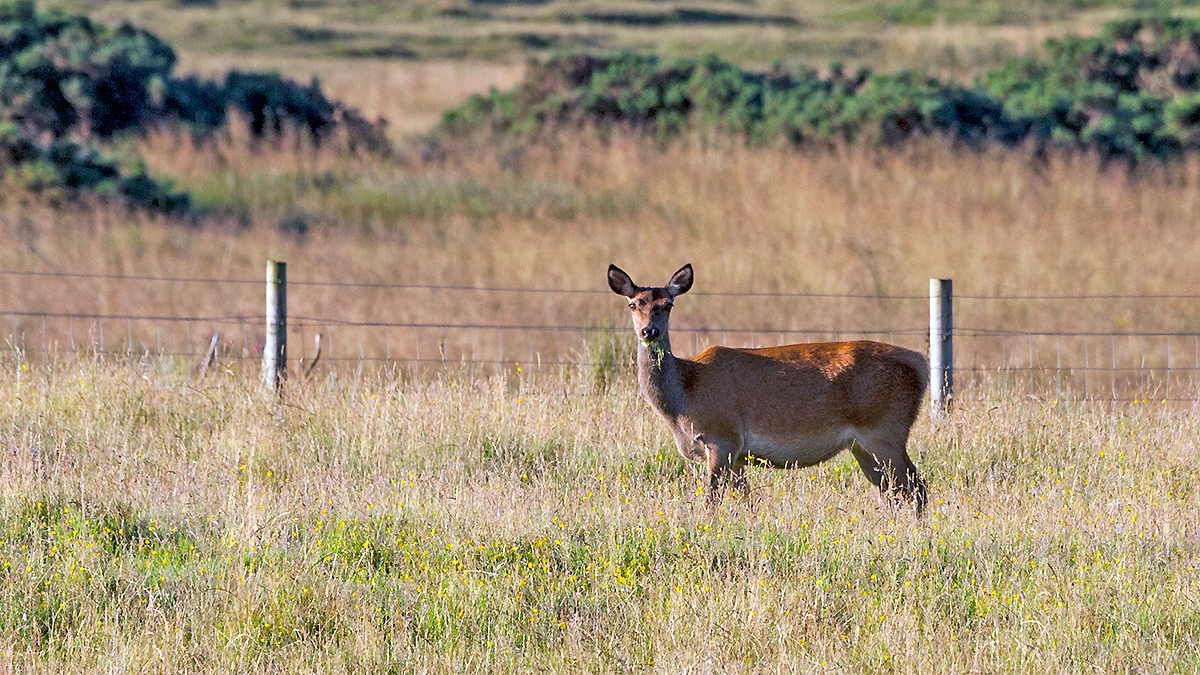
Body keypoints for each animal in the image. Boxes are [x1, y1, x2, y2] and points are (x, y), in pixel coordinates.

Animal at [608, 263, 929, 512]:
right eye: (633, 304)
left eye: (667, 305)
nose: (649, 331)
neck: (684, 398)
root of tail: (921, 365)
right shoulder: (737, 454)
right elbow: (746, 500)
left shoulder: (722, 436)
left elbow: (712, 499)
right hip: (863, 445)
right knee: (896, 490)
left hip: (885, 430)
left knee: (916, 487)